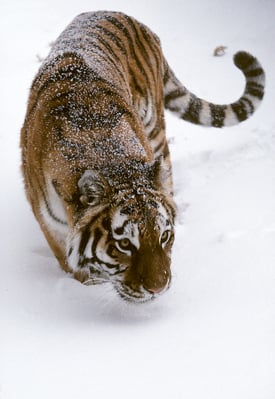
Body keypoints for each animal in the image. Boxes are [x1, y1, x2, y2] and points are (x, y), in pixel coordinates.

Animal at [20, 10, 266, 304]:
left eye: (165, 236)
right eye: (124, 244)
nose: (158, 289)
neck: (109, 157)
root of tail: (117, 13)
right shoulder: (54, 230)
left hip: (156, 131)